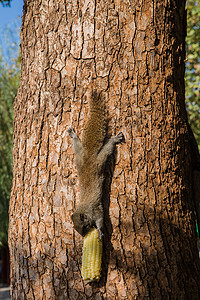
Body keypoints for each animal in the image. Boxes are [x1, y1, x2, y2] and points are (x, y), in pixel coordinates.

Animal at [67, 81, 125, 239]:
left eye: (83, 226)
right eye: (76, 228)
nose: (82, 235)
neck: (84, 206)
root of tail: (89, 155)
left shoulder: (96, 209)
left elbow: (100, 219)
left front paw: (99, 231)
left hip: (101, 158)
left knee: (108, 147)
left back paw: (115, 139)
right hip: (79, 155)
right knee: (76, 144)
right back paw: (73, 134)